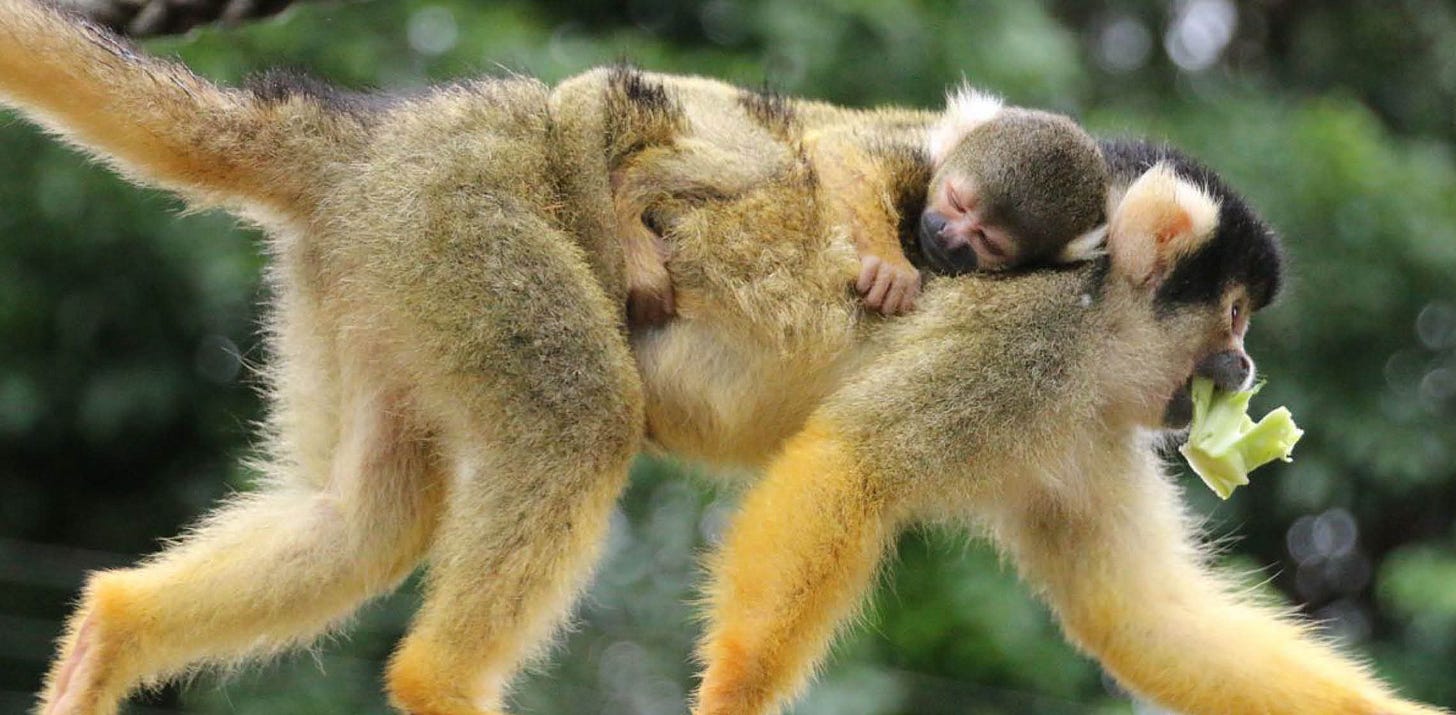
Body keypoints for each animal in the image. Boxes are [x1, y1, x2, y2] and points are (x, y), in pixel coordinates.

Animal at [0, 3, 1444, 714]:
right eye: (1232, 321)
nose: (1242, 383)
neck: (1094, 329)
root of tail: (374, 129)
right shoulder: (1025, 347)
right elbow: (848, 468)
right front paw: (735, 697)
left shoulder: (1081, 425)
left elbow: (1141, 615)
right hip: (474, 220)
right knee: (577, 417)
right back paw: (439, 680)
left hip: (377, 266)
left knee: (369, 512)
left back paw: (119, 627)